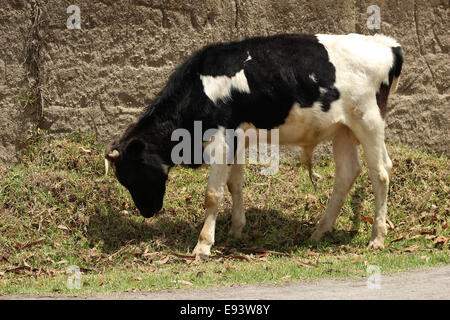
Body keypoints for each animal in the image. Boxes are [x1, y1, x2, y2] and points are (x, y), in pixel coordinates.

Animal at [105, 33, 404, 258]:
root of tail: (386, 45)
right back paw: (320, 231)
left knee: (381, 172)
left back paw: (377, 238)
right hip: (343, 129)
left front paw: (203, 245)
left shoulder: (221, 139)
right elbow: (234, 185)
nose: (147, 212)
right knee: (347, 173)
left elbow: (213, 194)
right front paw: (236, 230)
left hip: (368, 121)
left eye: (133, 174)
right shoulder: (236, 140)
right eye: (123, 178)